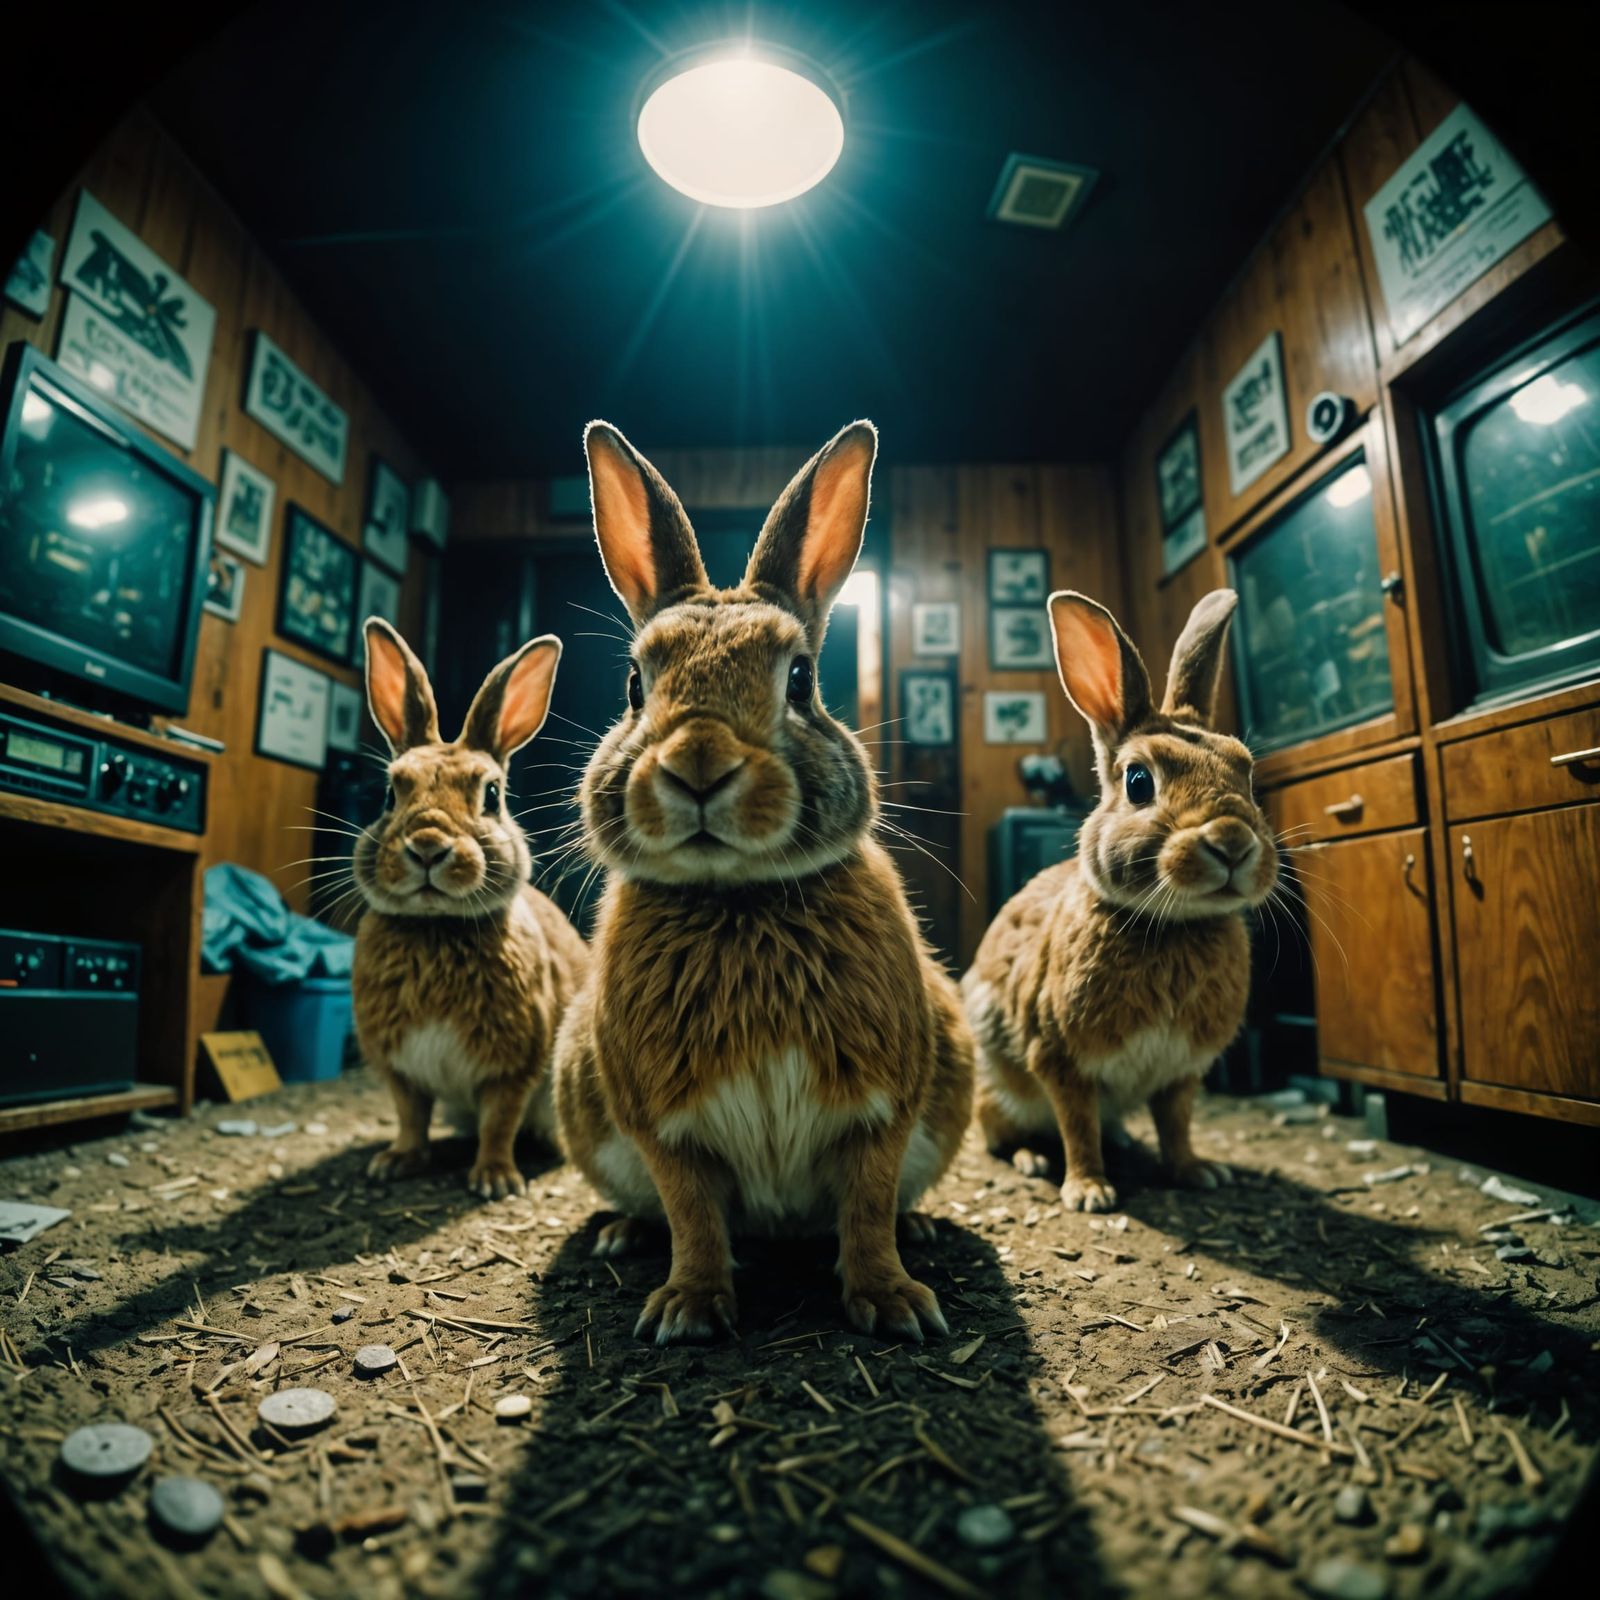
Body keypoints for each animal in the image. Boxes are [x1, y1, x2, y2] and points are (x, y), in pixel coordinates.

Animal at [352, 618, 589, 1200]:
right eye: (390, 793)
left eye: (493, 794)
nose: (428, 847)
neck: (436, 928)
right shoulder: (399, 1067)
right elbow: (410, 1114)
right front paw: (397, 1161)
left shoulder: (514, 1067)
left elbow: (499, 1121)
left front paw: (495, 1179)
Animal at [552, 419, 974, 1346]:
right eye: (634, 684)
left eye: (802, 679)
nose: (698, 766)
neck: (738, 897)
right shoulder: (661, 1124)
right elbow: (692, 1211)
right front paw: (688, 1307)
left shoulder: (884, 1107)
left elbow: (866, 1204)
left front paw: (895, 1303)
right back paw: (621, 1232)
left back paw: (921, 1230)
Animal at [962, 588, 1278, 1212]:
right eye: (1138, 782)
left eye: (1248, 777)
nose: (1232, 842)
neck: (1173, 925)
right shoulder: (1059, 1059)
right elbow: (1077, 1124)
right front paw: (1089, 1191)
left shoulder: (1181, 1071)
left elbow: (1177, 1123)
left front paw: (1196, 1171)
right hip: (998, 1089)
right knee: (1002, 1135)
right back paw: (1033, 1159)